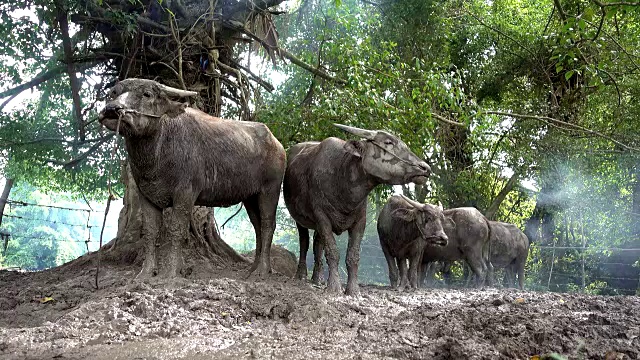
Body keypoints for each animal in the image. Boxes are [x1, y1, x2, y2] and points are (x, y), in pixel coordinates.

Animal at [98, 78, 284, 278]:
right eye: (113, 93)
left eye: (147, 94)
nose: (112, 109)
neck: (158, 151)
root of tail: (278, 145)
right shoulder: (146, 196)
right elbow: (150, 232)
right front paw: (147, 272)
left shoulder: (185, 193)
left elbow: (177, 230)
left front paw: (171, 272)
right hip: (250, 197)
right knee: (257, 226)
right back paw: (253, 269)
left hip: (270, 190)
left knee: (267, 224)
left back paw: (263, 270)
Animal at [284, 124, 430, 296]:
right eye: (388, 142)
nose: (425, 168)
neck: (342, 181)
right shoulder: (322, 218)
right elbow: (332, 252)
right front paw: (334, 286)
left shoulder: (360, 221)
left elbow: (353, 255)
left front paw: (353, 289)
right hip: (300, 219)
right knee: (304, 242)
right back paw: (301, 275)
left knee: (317, 245)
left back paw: (317, 278)